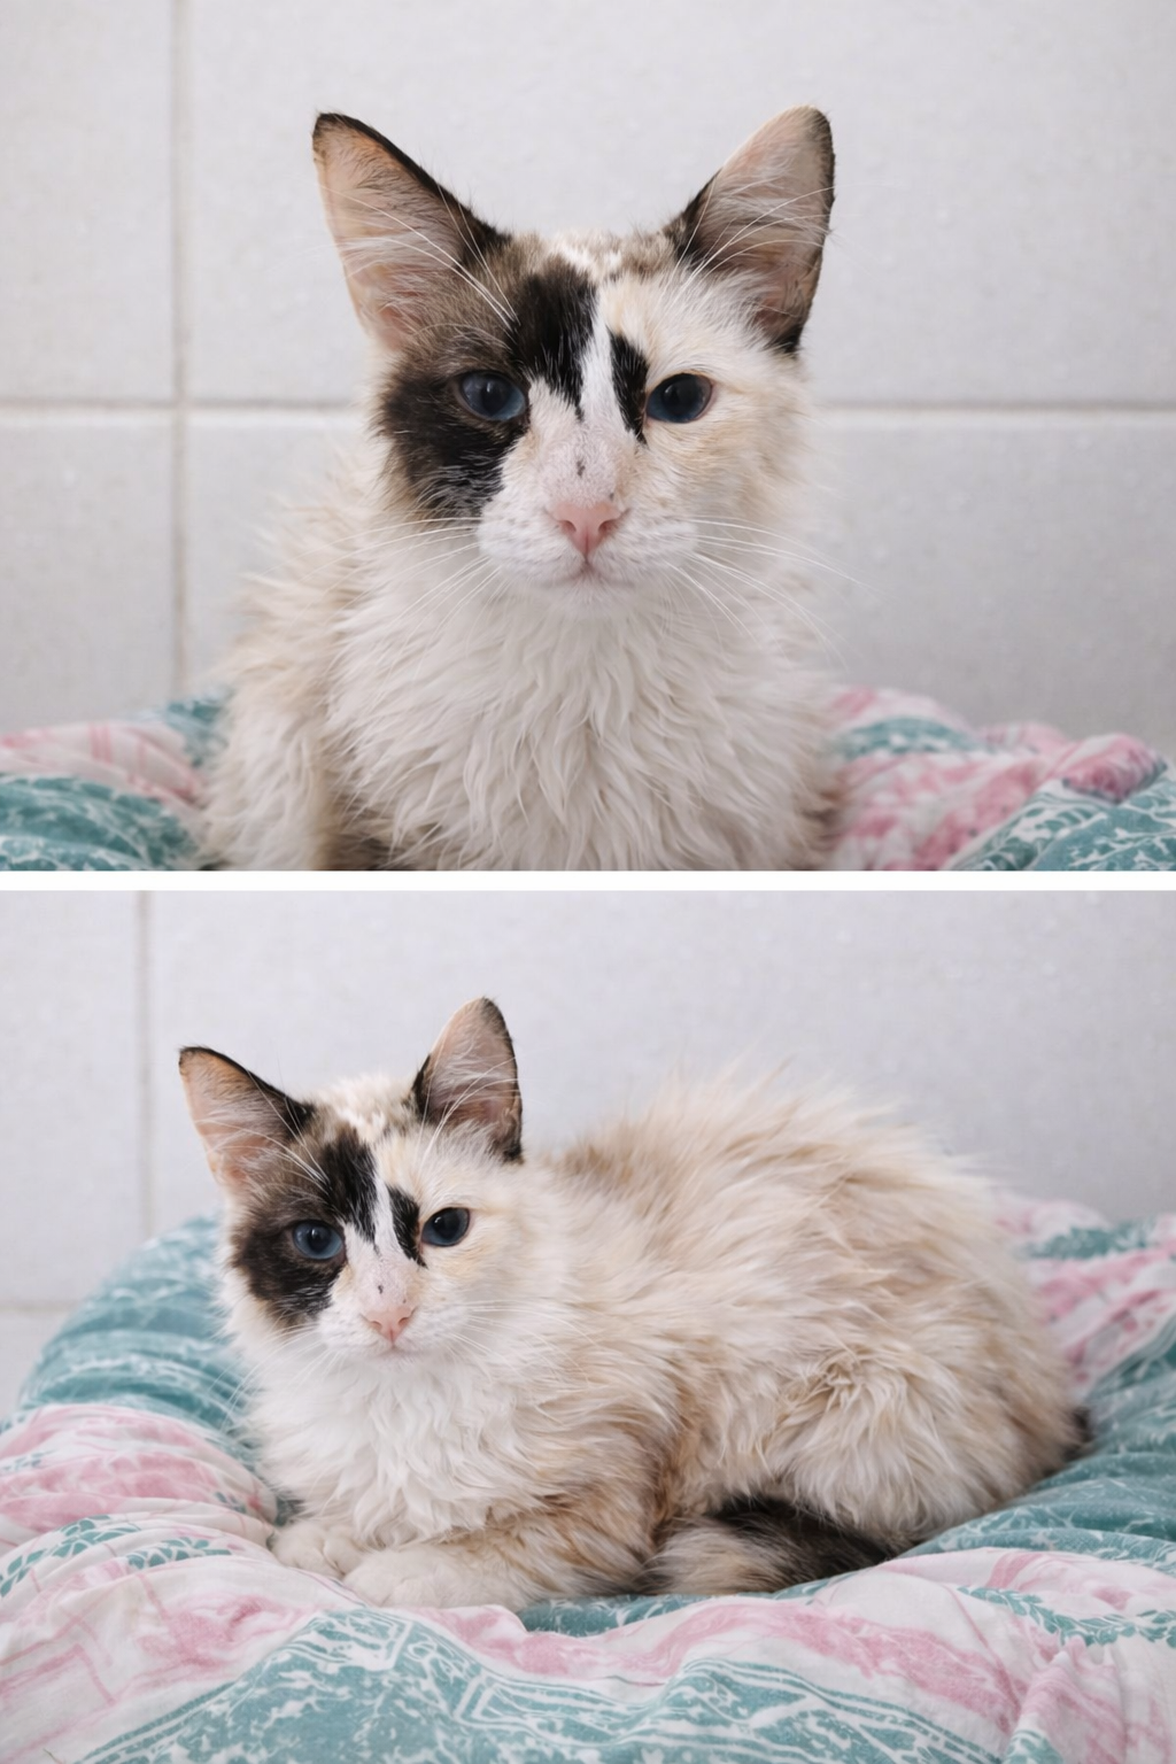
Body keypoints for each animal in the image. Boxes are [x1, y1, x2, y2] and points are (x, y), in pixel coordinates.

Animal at [180, 997, 1082, 1610]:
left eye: (444, 1229)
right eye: (317, 1242)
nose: (388, 1312)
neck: (407, 1402)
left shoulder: (606, 1511)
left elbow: (458, 1555)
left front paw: (387, 1568)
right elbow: (322, 1532)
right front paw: (328, 1538)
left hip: (856, 1404)